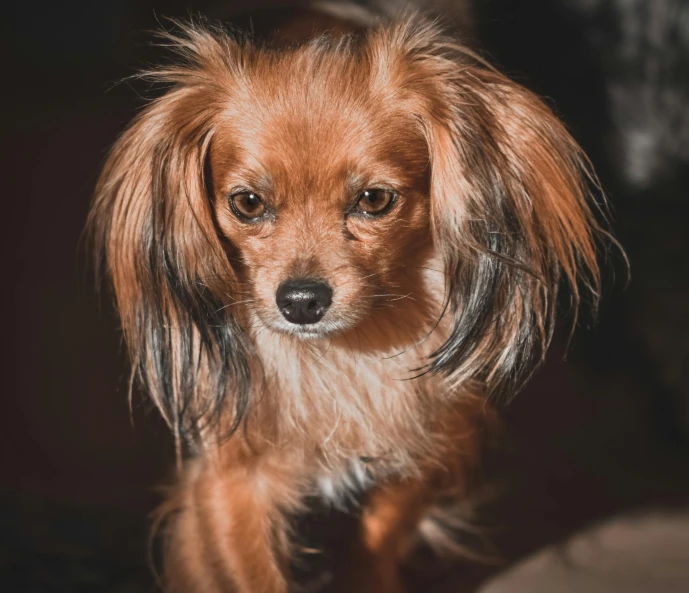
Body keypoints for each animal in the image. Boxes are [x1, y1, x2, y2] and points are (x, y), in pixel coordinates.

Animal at [90, 5, 600, 592]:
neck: (338, 358)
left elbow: (377, 533)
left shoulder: (430, 440)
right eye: (247, 203)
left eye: (373, 200)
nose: (301, 301)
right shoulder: (227, 480)